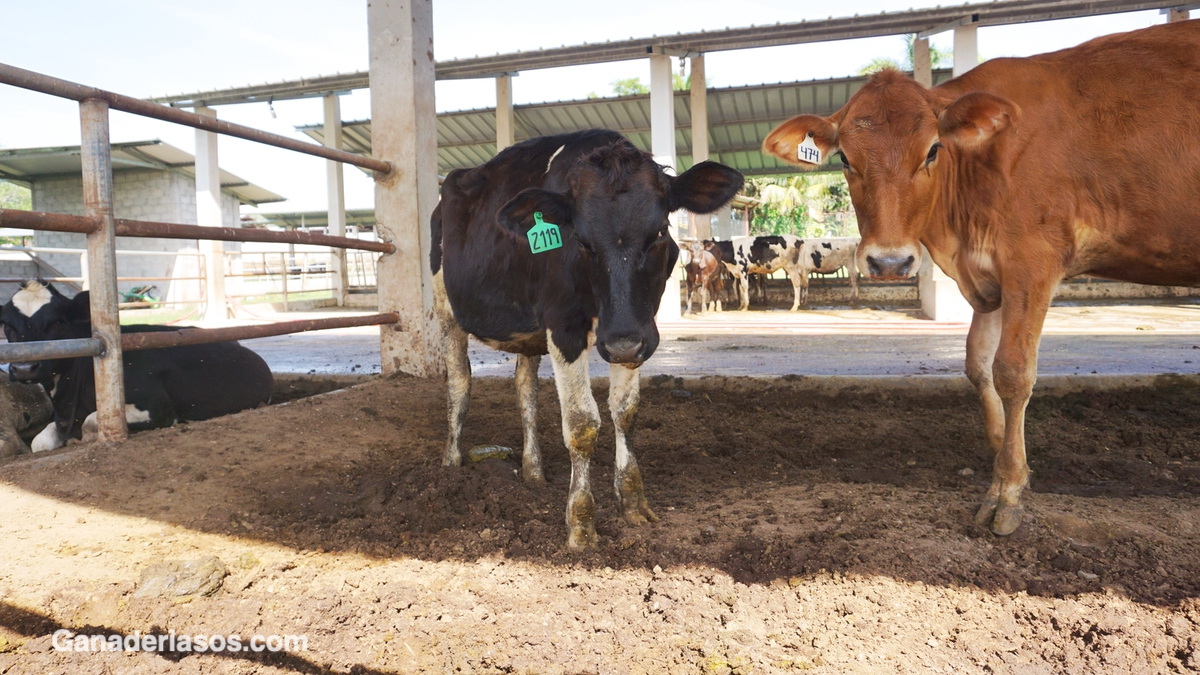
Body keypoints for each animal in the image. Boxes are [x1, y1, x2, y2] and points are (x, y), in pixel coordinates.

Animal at [1, 281, 273, 449]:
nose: (24, 368)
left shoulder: (157, 408)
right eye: (7, 325)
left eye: (56, 322)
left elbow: (91, 421)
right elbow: (39, 442)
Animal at [432, 127, 739, 547]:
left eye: (660, 231)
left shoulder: (635, 330)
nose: (621, 343)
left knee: (525, 388)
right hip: (445, 310)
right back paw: (450, 467)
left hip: (529, 332)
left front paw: (633, 504)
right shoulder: (564, 326)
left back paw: (533, 471)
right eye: (580, 239)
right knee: (459, 385)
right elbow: (581, 423)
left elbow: (625, 412)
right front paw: (580, 523)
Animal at [763, 22, 1200, 535]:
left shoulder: (1033, 260)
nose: (889, 263)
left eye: (933, 150)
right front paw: (1012, 458)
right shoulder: (990, 281)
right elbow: (977, 363)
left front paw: (1006, 489)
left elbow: (1012, 371)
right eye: (847, 159)